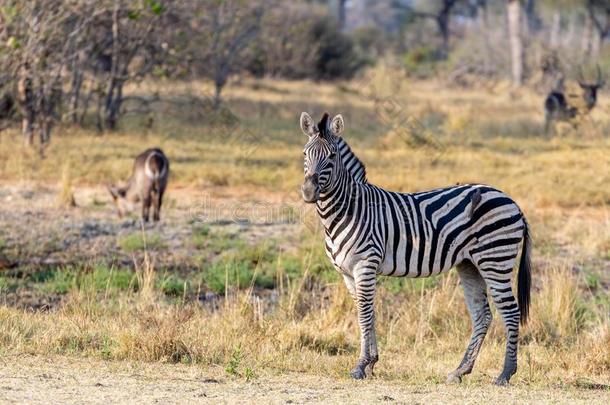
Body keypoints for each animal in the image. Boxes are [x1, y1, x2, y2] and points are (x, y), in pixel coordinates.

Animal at [298, 112, 528, 384]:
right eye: (305, 153)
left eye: (332, 156)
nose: (309, 192)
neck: (349, 209)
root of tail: (512, 201)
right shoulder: (348, 273)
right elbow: (366, 313)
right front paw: (371, 363)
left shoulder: (365, 265)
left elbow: (364, 314)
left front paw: (361, 366)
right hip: (470, 264)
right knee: (483, 315)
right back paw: (460, 371)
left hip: (496, 260)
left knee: (511, 312)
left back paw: (505, 374)